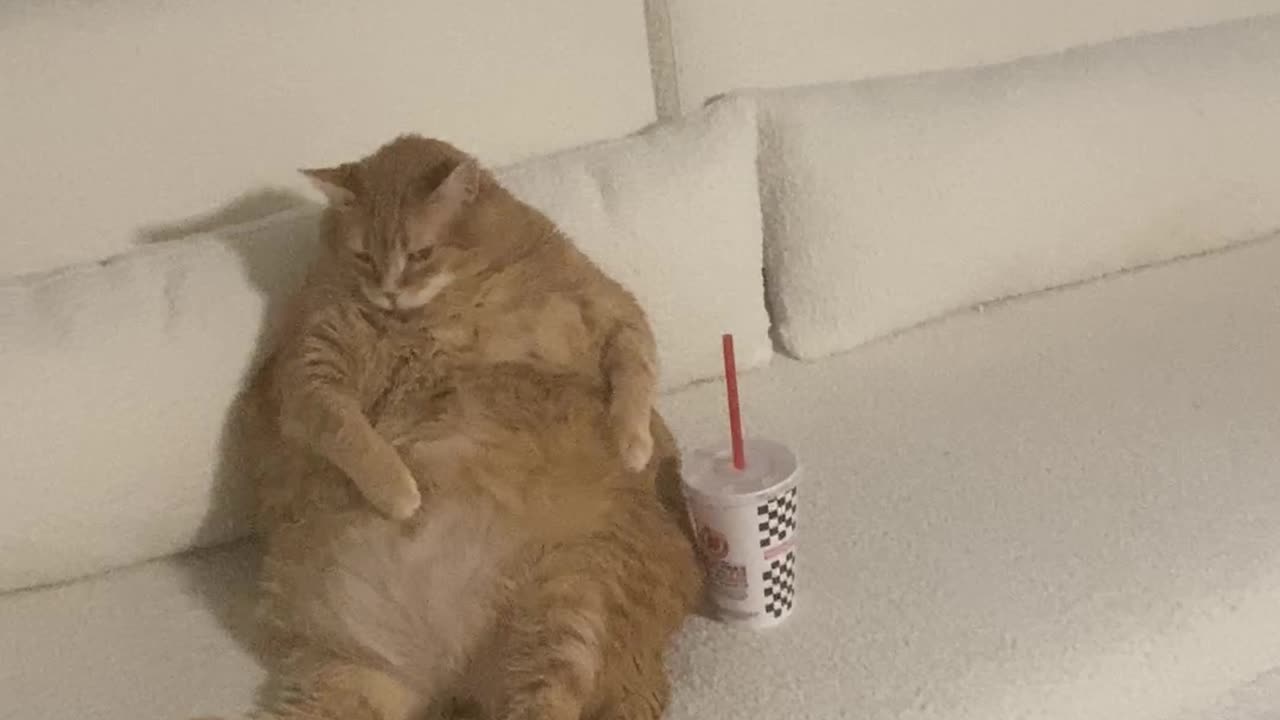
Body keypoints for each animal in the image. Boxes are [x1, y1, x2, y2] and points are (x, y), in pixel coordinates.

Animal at [235, 135, 706, 717]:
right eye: (364, 256)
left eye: (419, 254)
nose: (388, 292)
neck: (433, 309)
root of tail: (446, 678)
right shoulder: (310, 370)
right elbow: (350, 432)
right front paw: (399, 492)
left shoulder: (604, 303)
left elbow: (636, 366)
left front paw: (632, 442)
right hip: (351, 683)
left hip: (573, 601)